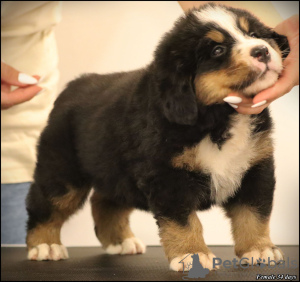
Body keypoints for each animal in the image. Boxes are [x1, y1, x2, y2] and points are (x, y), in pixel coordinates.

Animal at [25, 2, 288, 270]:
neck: (218, 117)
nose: (261, 51)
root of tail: (72, 87)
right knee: (45, 205)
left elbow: (253, 214)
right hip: (62, 173)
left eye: (253, 34)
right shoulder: (168, 177)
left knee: (104, 202)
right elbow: (184, 222)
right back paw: (45, 245)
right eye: (217, 50)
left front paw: (259, 249)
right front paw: (192, 254)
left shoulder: (255, 167)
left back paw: (120, 241)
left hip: (116, 172)